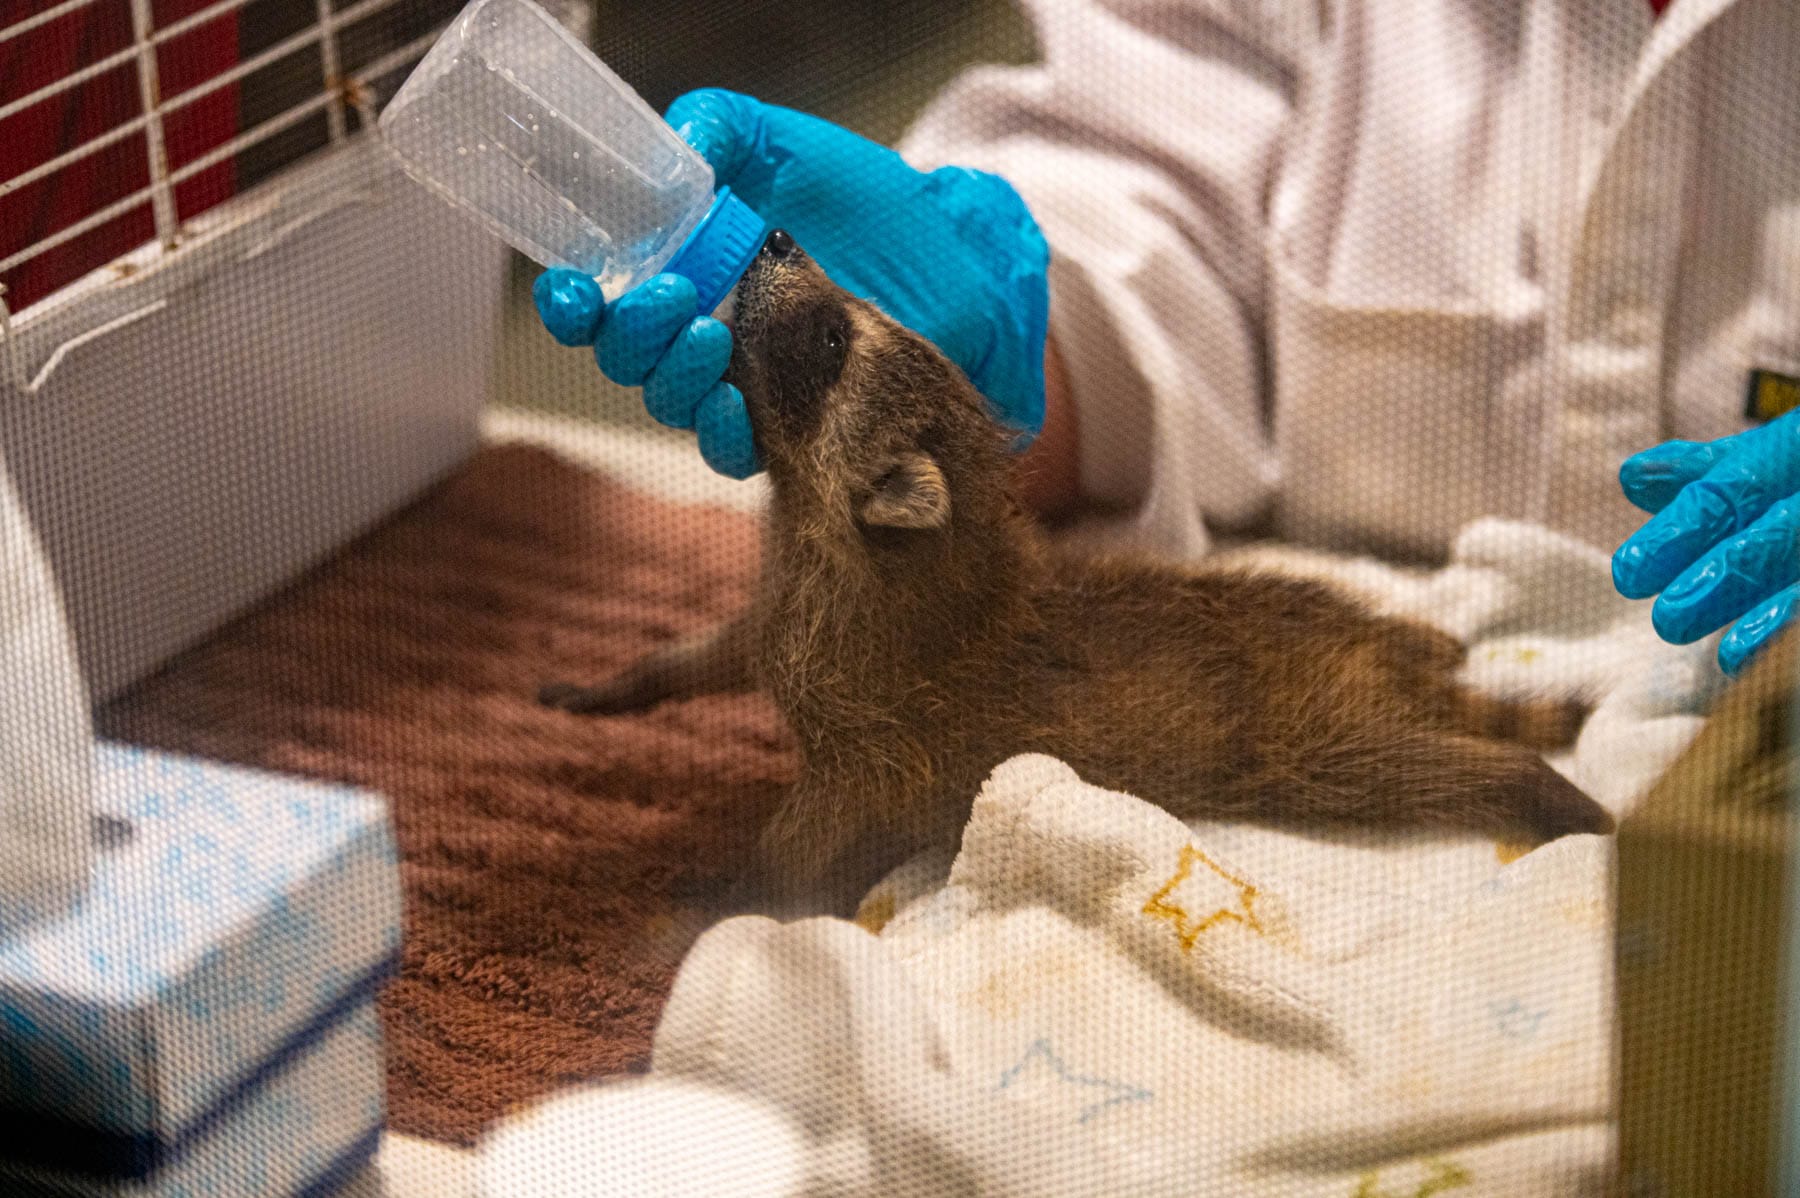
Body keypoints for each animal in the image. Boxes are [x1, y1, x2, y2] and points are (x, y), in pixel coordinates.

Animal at [540, 229, 1613, 916]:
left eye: (833, 340)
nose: (768, 236)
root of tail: (1378, 654)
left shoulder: (869, 725)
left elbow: (808, 832)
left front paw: (728, 892)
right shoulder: (785, 610)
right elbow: (719, 652)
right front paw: (625, 683)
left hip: (1315, 738)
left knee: (1411, 766)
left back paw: (1535, 783)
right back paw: (1433, 634)